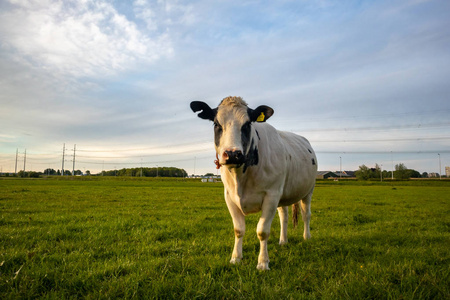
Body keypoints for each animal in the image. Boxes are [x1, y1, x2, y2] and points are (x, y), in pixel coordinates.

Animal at [190, 97, 316, 270]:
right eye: (216, 124)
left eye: (247, 124)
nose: (232, 154)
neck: (241, 178)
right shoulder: (229, 197)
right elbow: (238, 229)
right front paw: (236, 258)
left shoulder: (271, 195)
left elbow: (262, 231)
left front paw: (263, 263)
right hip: (283, 193)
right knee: (284, 216)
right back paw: (283, 241)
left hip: (308, 190)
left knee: (306, 214)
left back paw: (307, 237)